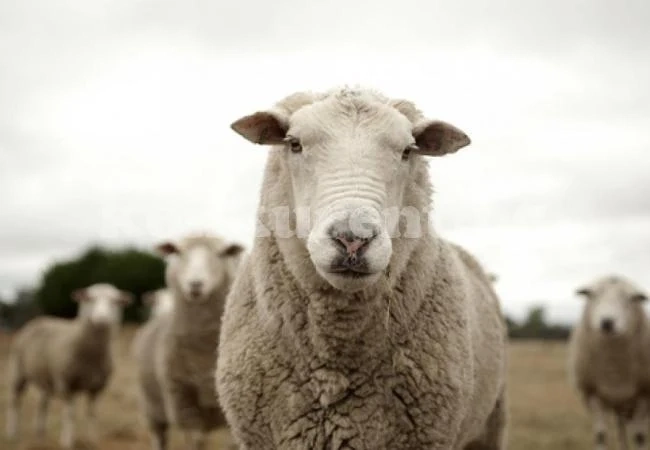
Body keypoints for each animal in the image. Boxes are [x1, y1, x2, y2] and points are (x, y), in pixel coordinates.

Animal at [5, 283, 133, 449]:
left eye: (116, 301)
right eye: (89, 299)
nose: (102, 319)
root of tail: (39, 319)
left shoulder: (97, 388)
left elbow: (92, 414)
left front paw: (92, 440)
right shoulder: (67, 384)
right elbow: (70, 414)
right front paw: (67, 442)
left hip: (45, 376)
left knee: (43, 403)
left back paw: (40, 433)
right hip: (18, 371)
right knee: (15, 400)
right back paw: (12, 433)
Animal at [132, 234, 245, 450]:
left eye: (222, 254)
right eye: (177, 252)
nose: (195, 284)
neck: (203, 350)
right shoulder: (184, 402)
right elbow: (196, 440)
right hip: (152, 409)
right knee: (160, 438)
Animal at [568, 275, 650, 450]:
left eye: (630, 299)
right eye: (593, 295)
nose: (607, 322)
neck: (614, 369)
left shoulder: (643, 395)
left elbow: (639, 436)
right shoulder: (593, 395)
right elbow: (601, 435)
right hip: (620, 406)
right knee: (621, 431)